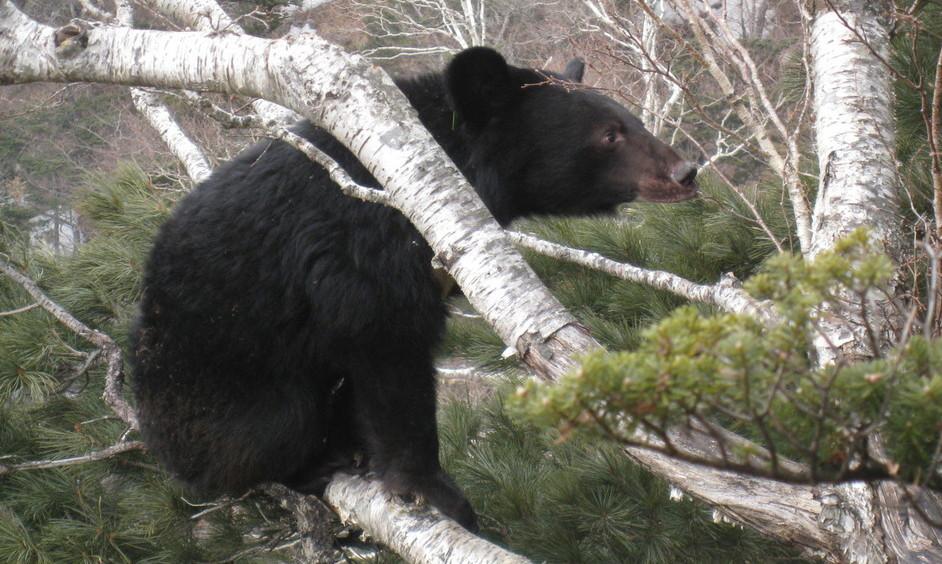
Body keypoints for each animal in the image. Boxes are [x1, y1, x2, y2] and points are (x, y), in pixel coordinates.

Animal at [129, 46, 696, 532]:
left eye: (632, 120)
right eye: (609, 135)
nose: (686, 170)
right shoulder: (365, 249)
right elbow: (389, 352)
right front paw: (439, 494)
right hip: (216, 391)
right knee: (271, 430)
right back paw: (314, 464)